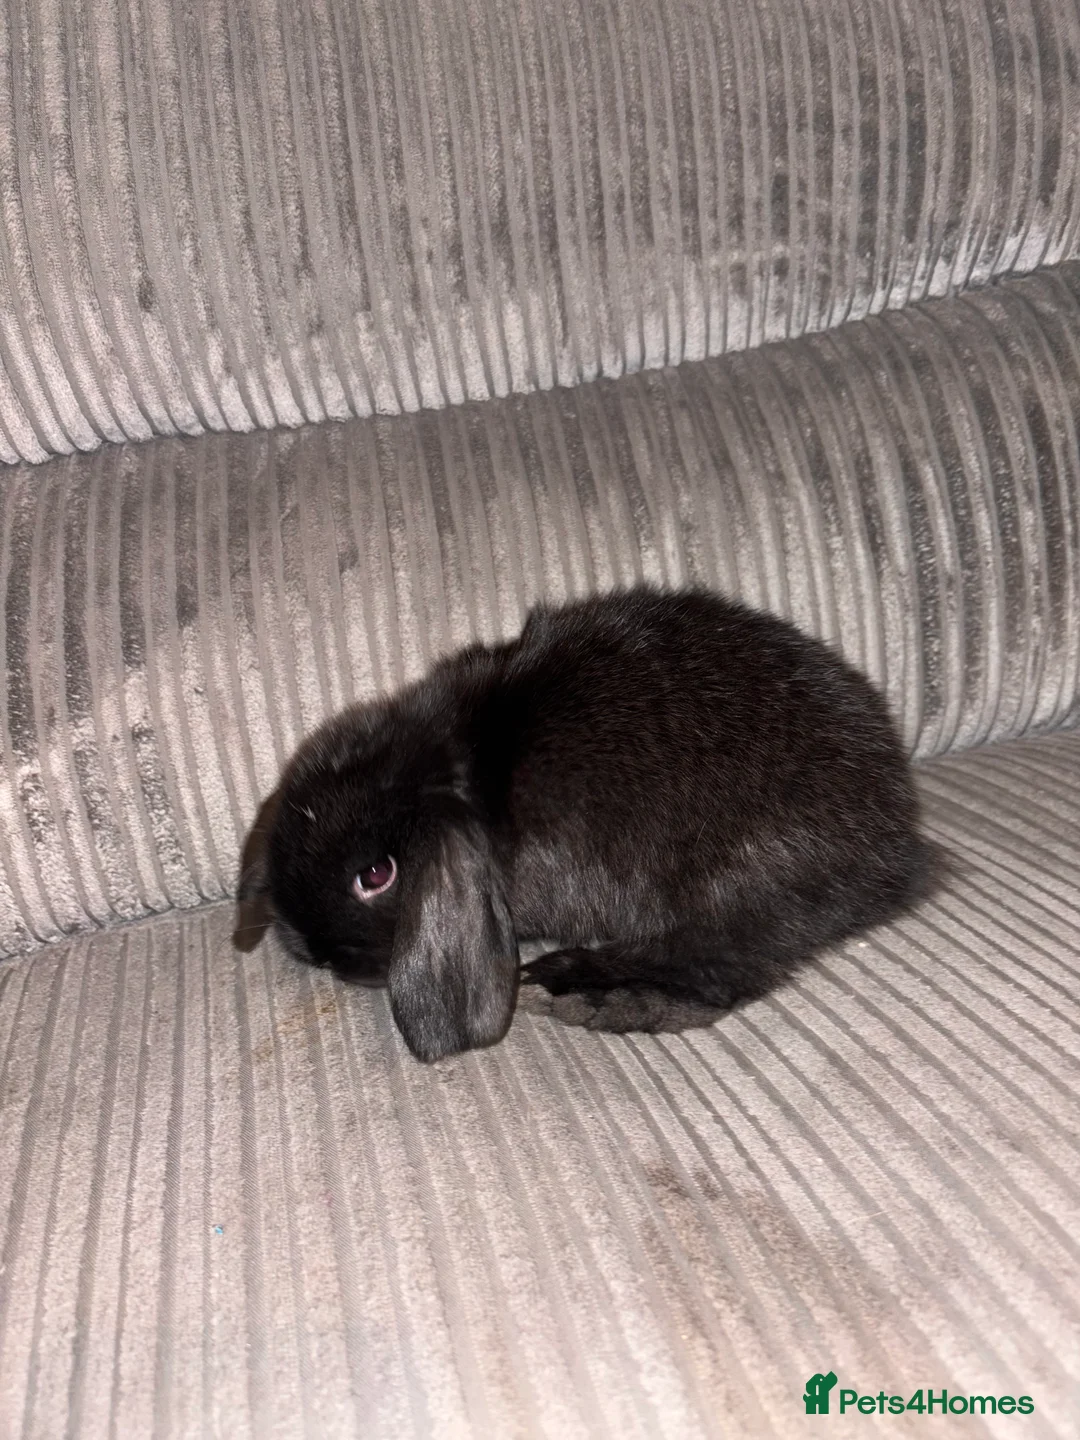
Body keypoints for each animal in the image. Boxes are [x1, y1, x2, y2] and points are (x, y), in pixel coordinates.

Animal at [238, 586, 938, 1062]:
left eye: (376, 875)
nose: (316, 953)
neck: (466, 772)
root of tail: (896, 833)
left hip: (734, 884)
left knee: (720, 976)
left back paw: (582, 992)